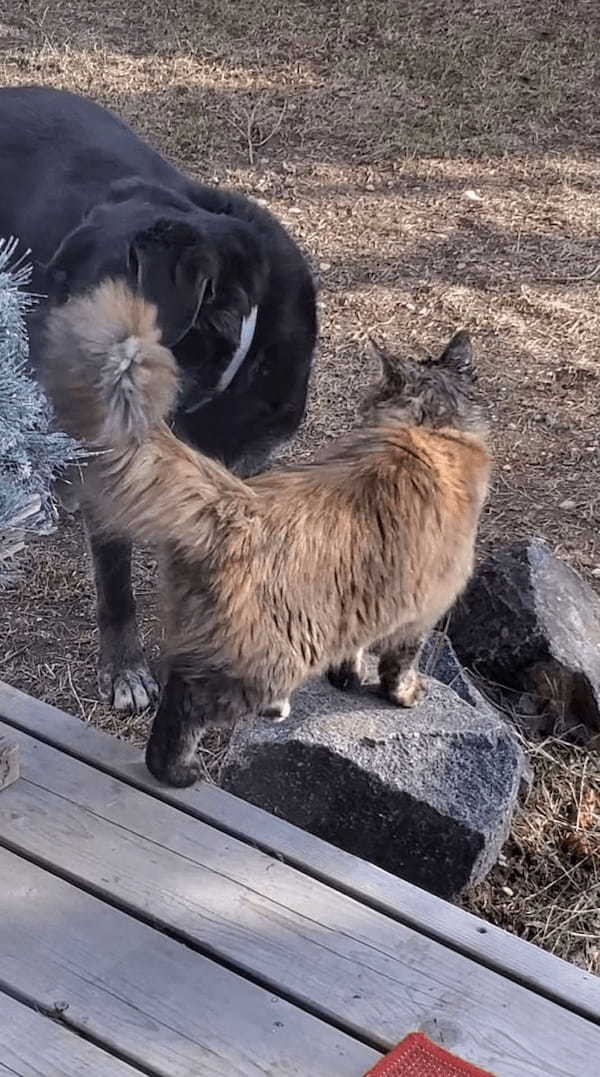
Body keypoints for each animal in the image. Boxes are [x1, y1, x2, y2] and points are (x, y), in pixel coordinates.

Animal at [42, 277, 491, 788]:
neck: (428, 430)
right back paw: (184, 771)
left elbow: (353, 651)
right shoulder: (422, 613)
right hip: (263, 664)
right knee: (181, 711)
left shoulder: (366, 604)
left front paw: (347, 677)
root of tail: (233, 504)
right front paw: (405, 694)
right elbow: (400, 663)